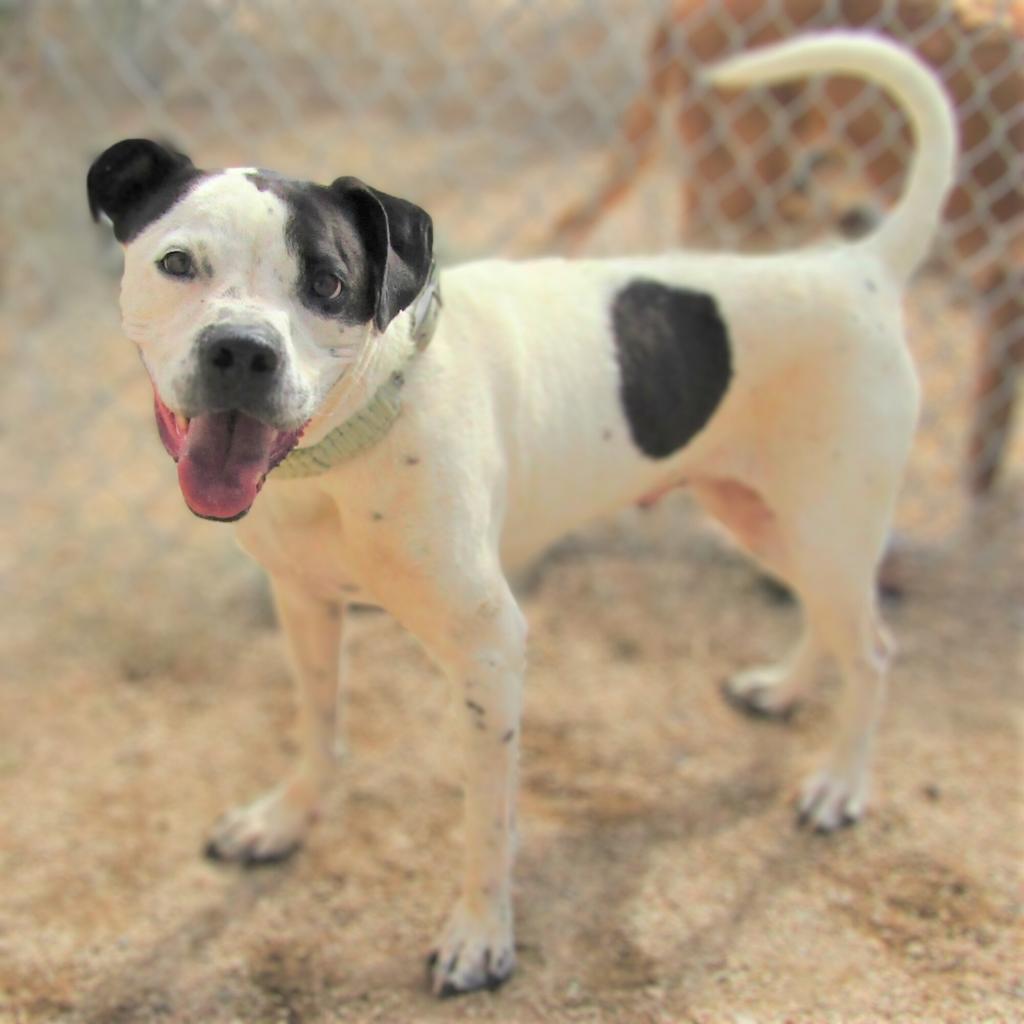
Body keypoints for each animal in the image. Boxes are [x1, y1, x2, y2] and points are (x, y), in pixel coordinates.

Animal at [90, 34, 958, 999]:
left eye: (327, 282)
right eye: (178, 263)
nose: (241, 350)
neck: (352, 440)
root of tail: (858, 266)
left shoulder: (491, 651)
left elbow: (486, 820)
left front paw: (481, 938)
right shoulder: (305, 603)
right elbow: (320, 727)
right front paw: (285, 819)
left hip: (829, 522)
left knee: (872, 649)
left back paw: (840, 783)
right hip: (765, 514)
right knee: (827, 618)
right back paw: (786, 688)